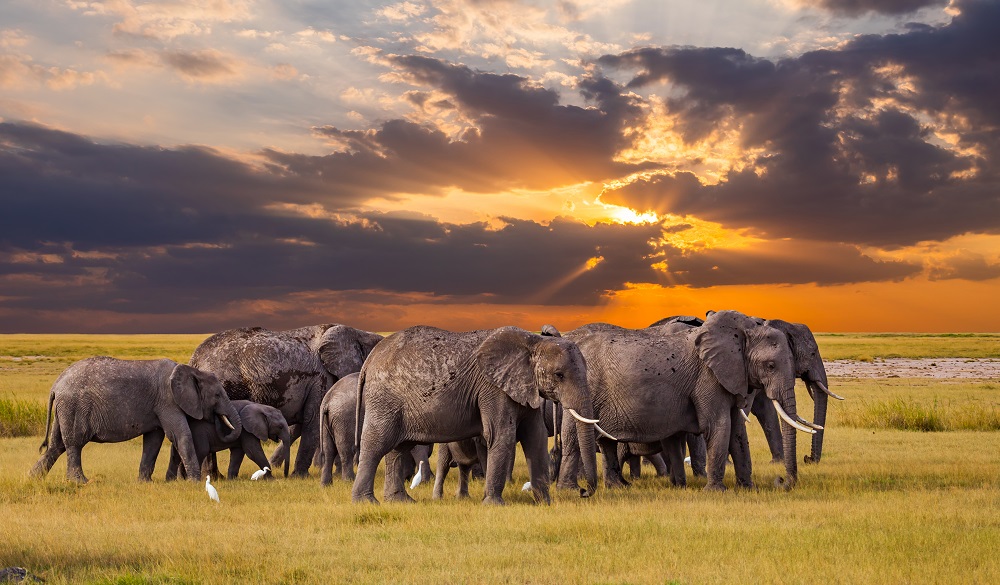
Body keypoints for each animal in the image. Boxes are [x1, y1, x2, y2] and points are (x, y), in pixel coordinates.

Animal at [29, 356, 242, 484]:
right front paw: (195, 483)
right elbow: (180, 435)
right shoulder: (168, 401)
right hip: (74, 406)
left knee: (56, 446)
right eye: (217, 395)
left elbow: (154, 441)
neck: (192, 370)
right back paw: (81, 482)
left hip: (64, 409)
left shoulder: (158, 406)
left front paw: (145, 483)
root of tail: (56, 384)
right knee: (74, 443)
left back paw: (33, 478)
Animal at [189, 322, 384, 476]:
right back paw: (214, 477)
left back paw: (215, 477)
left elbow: (298, 427)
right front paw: (300, 476)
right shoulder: (321, 378)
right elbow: (312, 422)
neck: (358, 332)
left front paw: (275, 466)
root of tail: (194, 359)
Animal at [350, 326, 600, 504]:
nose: (583, 491)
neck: (533, 341)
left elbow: (535, 437)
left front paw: (544, 503)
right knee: (376, 444)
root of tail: (369, 360)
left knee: (398, 448)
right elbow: (501, 435)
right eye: (559, 375)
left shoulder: (523, 387)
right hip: (384, 399)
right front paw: (494, 504)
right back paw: (366, 503)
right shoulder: (492, 388)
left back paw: (401, 501)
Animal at [556, 308, 812, 490]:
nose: (782, 481)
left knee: (607, 442)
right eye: (770, 365)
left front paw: (748, 489)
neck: (742, 331)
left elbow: (738, 431)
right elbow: (718, 426)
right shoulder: (707, 378)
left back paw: (618, 487)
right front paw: (716, 492)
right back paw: (571, 490)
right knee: (574, 438)